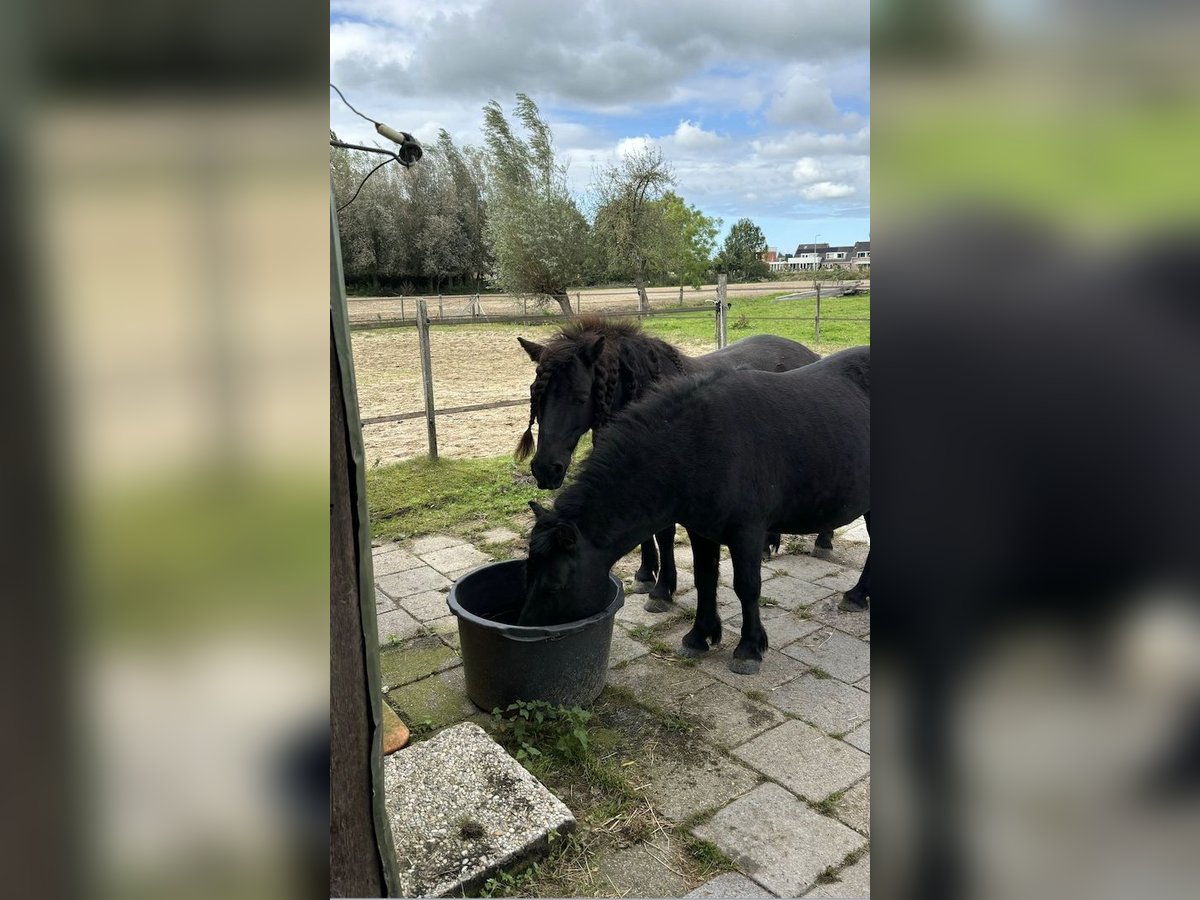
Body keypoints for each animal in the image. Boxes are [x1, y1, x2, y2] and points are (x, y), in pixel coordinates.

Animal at [511, 316, 830, 614]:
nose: (545, 469)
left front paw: (662, 589)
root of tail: (810, 354)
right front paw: (645, 575)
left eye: (579, 397)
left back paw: (823, 543)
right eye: (536, 397)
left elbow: (664, 534)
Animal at [520, 345, 868, 676]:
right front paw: (700, 635)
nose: (526, 629)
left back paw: (855, 593)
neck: (699, 444)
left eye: (554, 586)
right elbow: (705, 578)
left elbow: (747, 587)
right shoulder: (702, 531)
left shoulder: (747, 532)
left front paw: (748, 649)